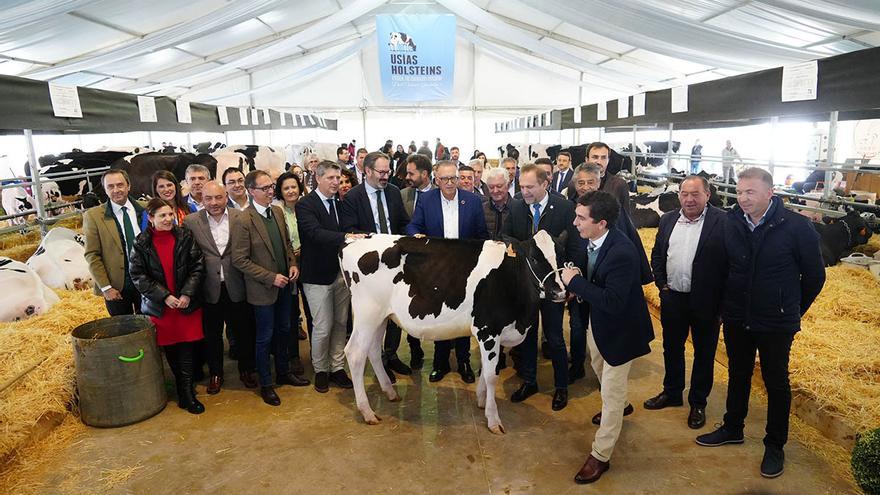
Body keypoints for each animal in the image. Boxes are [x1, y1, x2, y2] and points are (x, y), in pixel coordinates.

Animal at [340, 232, 568, 434]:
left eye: (563, 257)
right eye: (534, 258)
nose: (560, 292)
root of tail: (354, 241)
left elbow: (485, 370)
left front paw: (481, 399)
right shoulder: (488, 330)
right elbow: (491, 375)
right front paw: (493, 419)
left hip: (382, 317)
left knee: (373, 351)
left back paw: (390, 392)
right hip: (367, 313)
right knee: (355, 354)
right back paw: (367, 412)